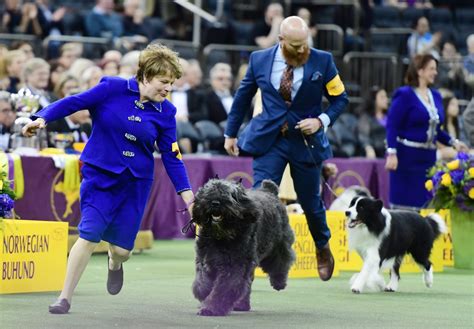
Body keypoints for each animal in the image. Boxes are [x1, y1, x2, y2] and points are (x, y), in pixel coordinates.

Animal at [191, 178, 294, 316]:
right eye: (208, 191)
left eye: (230, 194)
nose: (215, 202)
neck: (222, 236)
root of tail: (269, 190)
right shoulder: (206, 259)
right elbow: (202, 280)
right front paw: (203, 293)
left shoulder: (235, 265)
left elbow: (224, 288)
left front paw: (211, 308)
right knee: (248, 282)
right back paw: (242, 305)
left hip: (278, 245)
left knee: (282, 261)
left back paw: (279, 281)